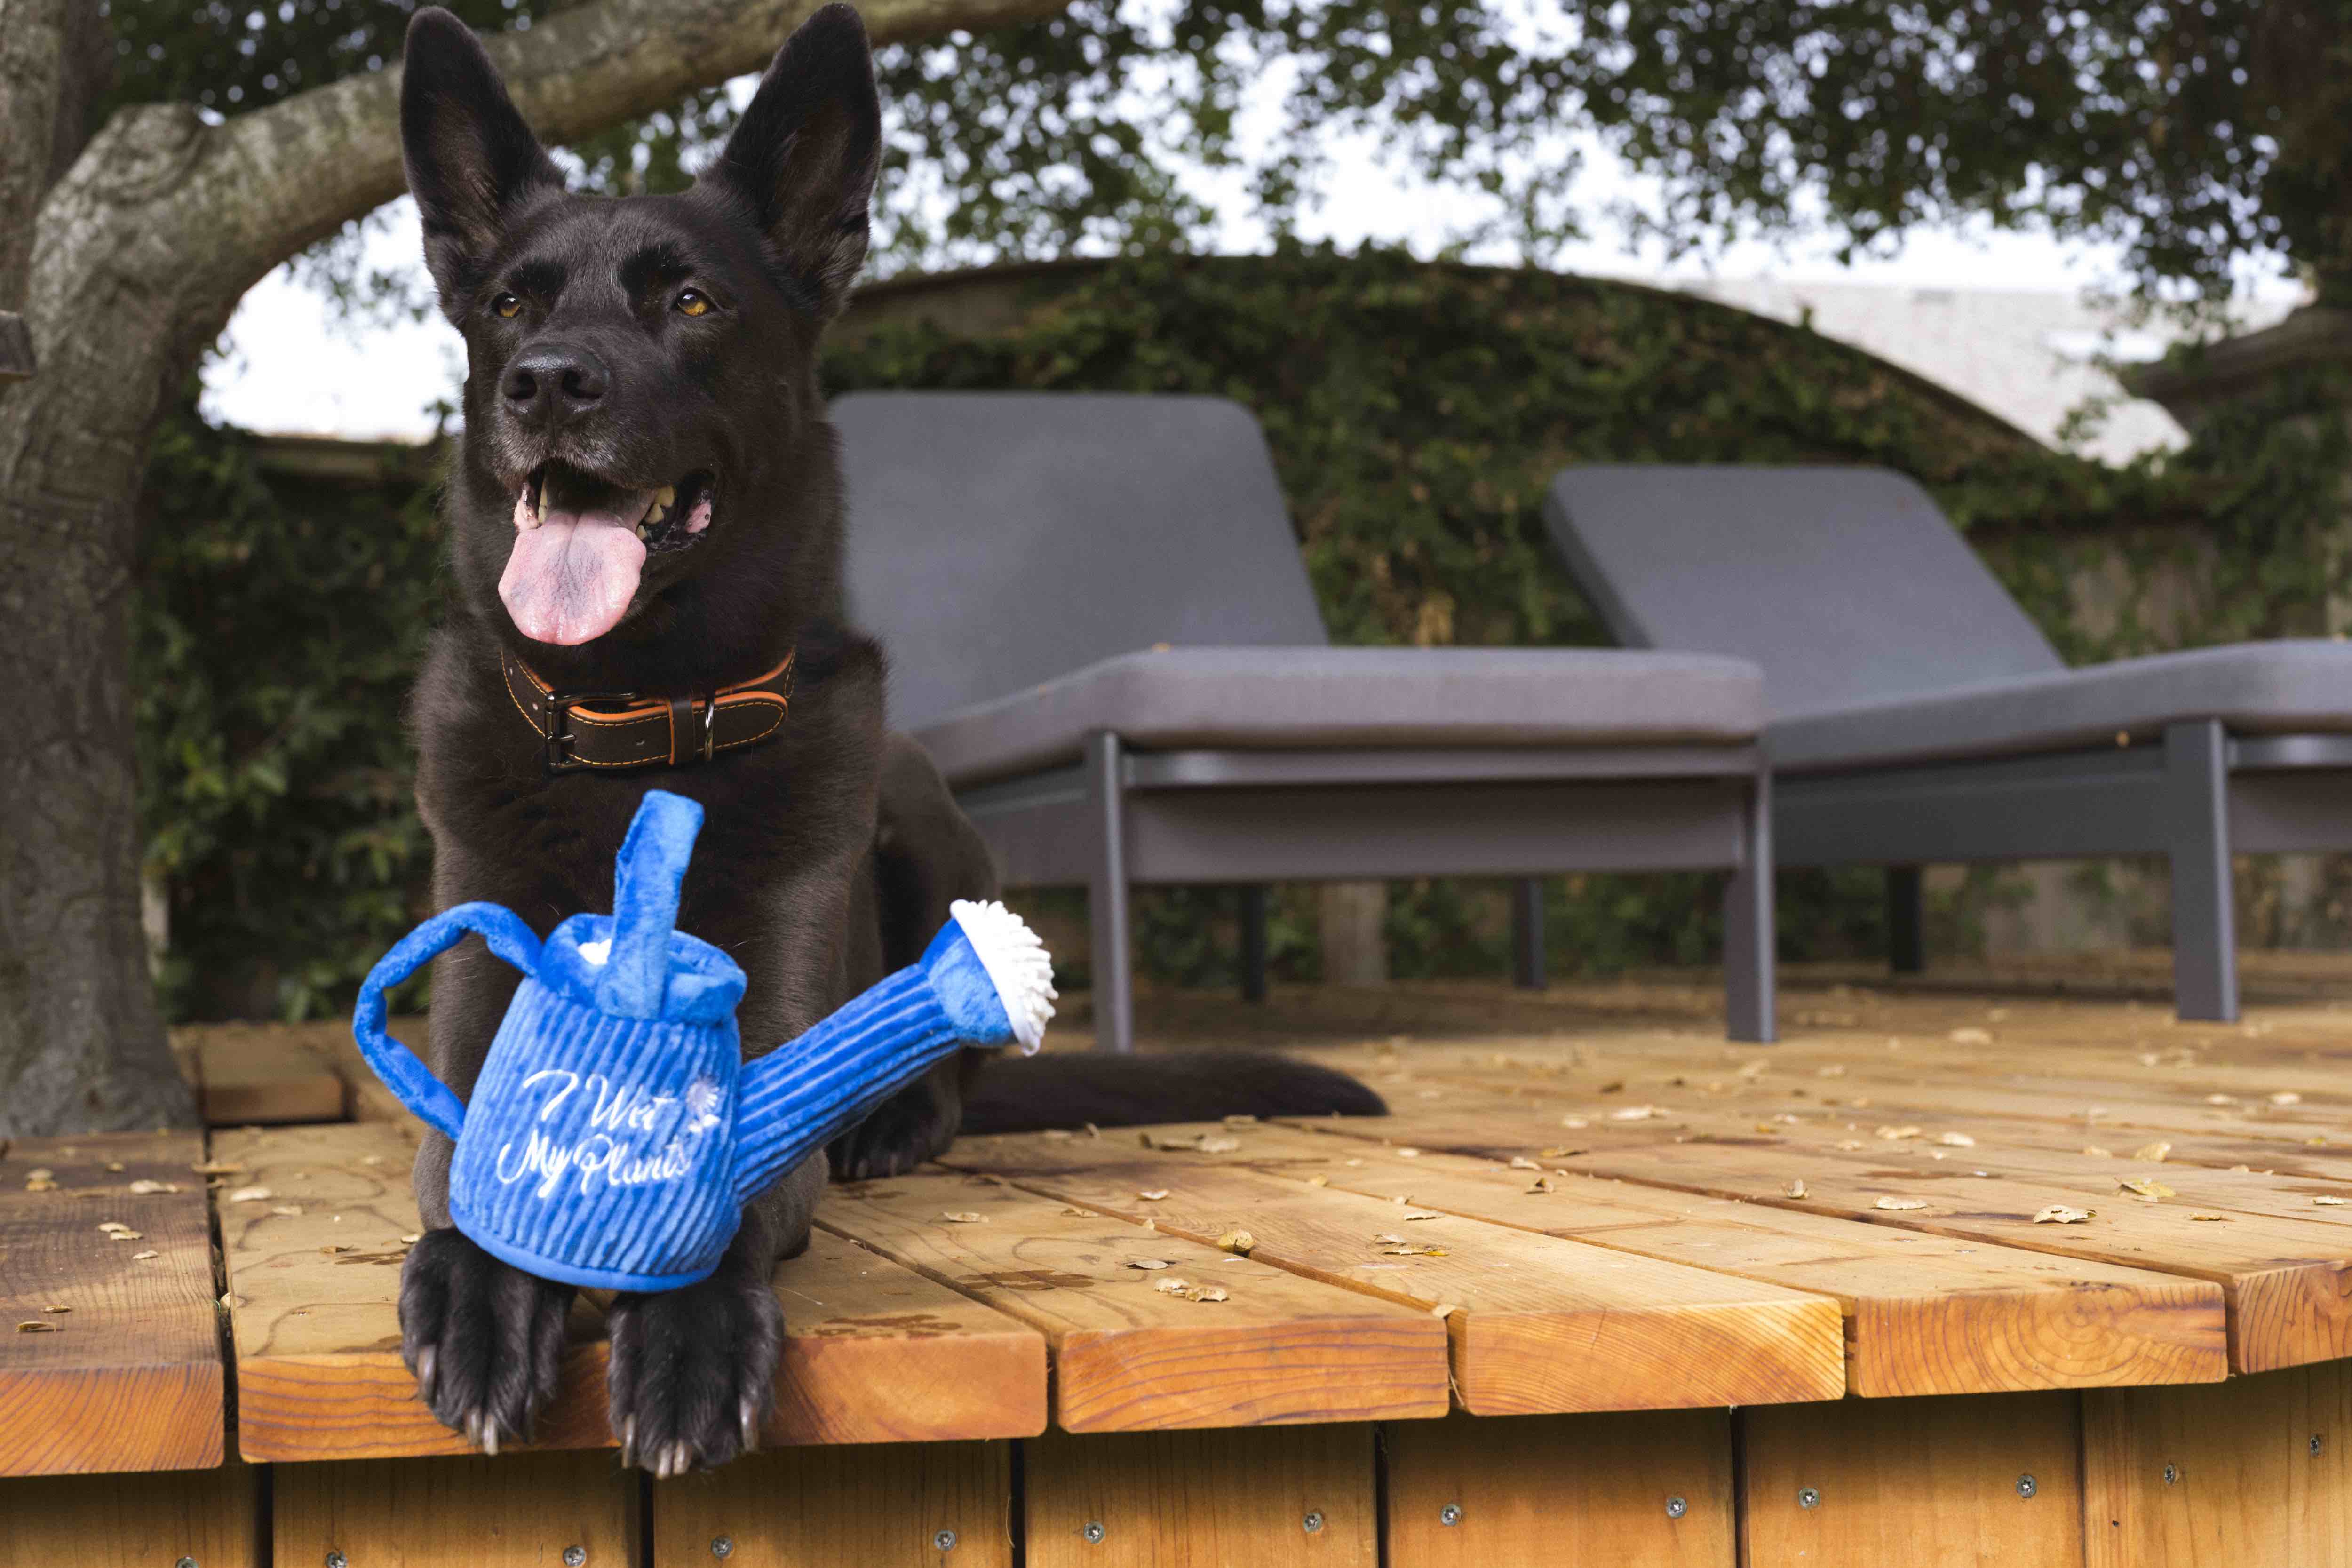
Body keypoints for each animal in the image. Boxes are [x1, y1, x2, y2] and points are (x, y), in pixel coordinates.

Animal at [386, 0, 1374, 1476]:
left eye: (692, 302)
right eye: (511, 304)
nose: (547, 382)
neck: (639, 724)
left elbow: (732, 1188)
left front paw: (689, 1335)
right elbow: (462, 1174)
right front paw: (480, 1291)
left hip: (925, 826)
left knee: (952, 1070)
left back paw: (896, 1121)